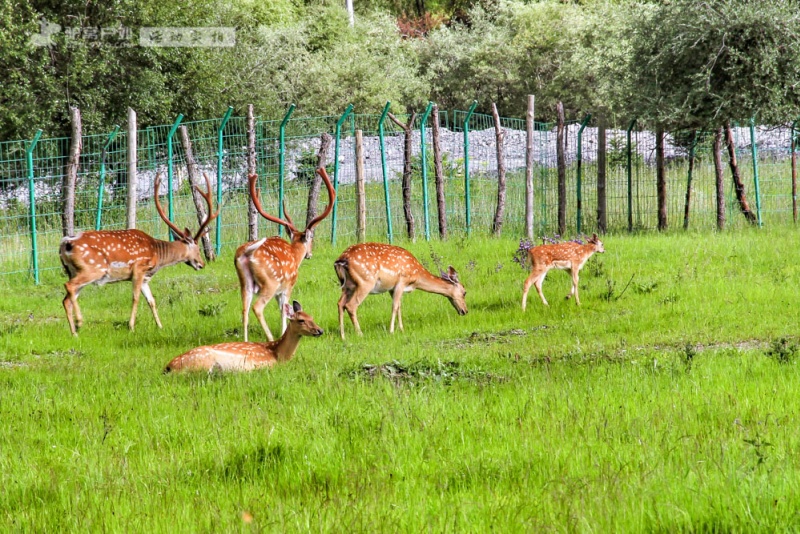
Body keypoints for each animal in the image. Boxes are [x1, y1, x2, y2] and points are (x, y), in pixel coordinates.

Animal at [164, 302, 324, 372]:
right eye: (301, 320)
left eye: (312, 317)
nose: (320, 330)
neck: (277, 354)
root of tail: (169, 367)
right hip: (201, 363)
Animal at [234, 169, 334, 344]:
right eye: (311, 239)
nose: (309, 254)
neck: (294, 255)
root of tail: (246, 253)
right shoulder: (288, 285)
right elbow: (284, 311)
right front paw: (283, 333)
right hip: (270, 282)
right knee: (257, 307)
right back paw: (270, 338)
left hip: (244, 282)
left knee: (244, 310)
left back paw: (245, 343)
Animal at [332, 243, 468, 340]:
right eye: (464, 292)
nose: (465, 311)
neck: (417, 276)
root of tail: (341, 260)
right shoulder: (401, 281)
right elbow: (394, 306)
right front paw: (391, 331)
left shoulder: (392, 288)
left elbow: (399, 307)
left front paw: (401, 329)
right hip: (365, 281)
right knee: (351, 305)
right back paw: (360, 334)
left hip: (348, 286)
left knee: (340, 303)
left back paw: (342, 336)